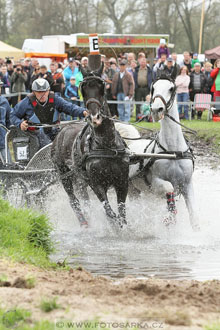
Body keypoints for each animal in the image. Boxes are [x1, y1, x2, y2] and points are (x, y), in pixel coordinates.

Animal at [51, 66, 129, 227]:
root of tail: (61, 132)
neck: (107, 146)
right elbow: (109, 212)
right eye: (83, 88)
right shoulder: (97, 184)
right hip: (64, 175)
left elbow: (122, 213)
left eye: (102, 86)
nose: (95, 117)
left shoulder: (122, 182)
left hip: (80, 181)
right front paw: (114, 225)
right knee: (74, 201)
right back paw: (84, 222)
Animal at [117, 76, 199, 231]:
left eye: (171, 88)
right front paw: (170, 218)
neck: (173, 151)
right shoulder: (155, 183)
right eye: (153, 88)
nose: (156, 109)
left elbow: (193, 215)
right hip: (132, 189)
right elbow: (169, 187)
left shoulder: (187, 184)